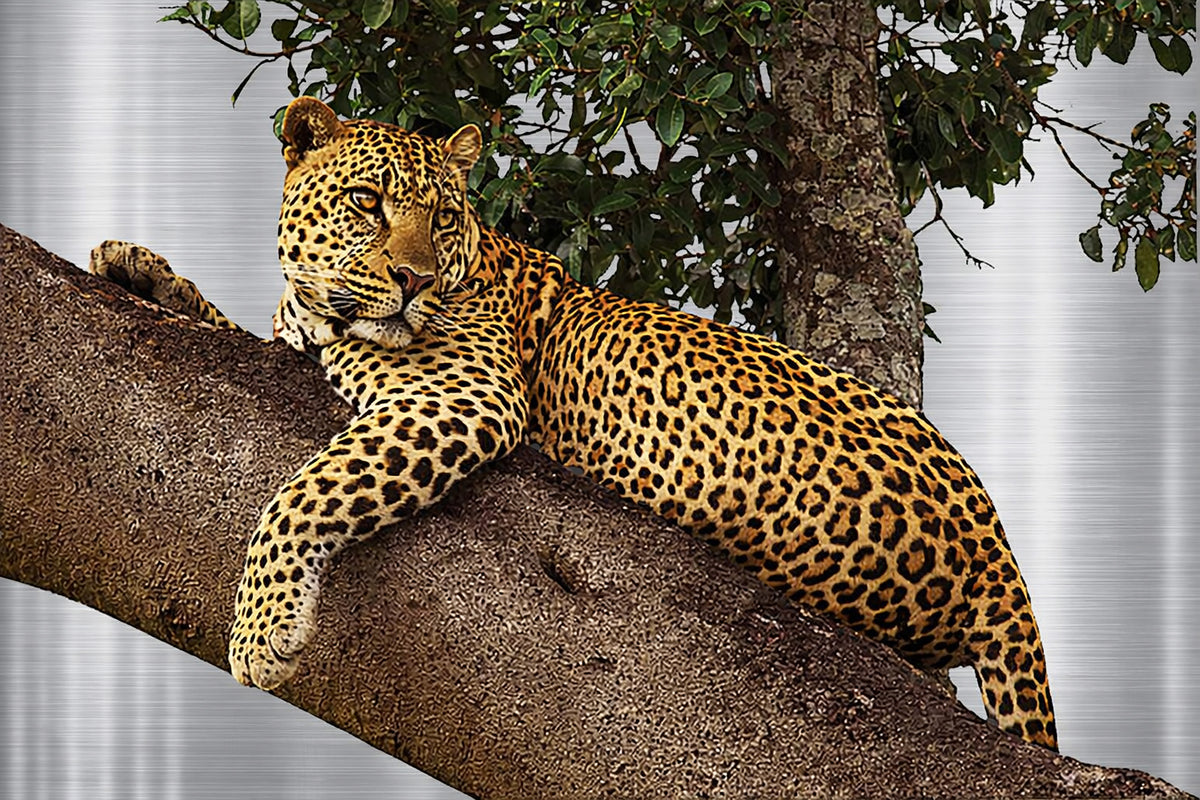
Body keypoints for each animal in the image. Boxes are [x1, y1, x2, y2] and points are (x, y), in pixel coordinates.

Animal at [90, 96, 1057, 750]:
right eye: (368, 202)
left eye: (443, 217)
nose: (412, 281)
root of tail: (1000, 554)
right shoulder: (291, 340)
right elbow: (228, 324)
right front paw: (132, 263)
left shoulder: (464, 394)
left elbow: (310, 488)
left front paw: (262, 631)